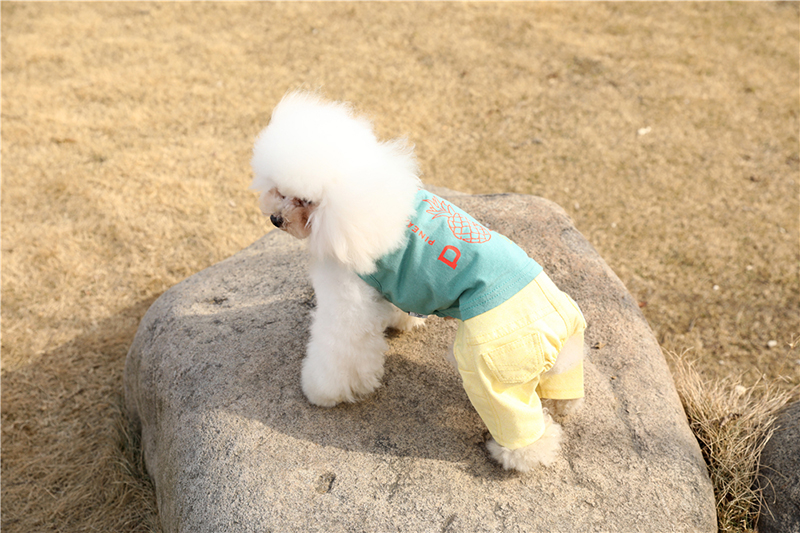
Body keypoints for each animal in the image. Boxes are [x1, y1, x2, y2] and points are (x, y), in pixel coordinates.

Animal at [250, 92, 587, 472]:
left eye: (305, 201)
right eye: (278, 190)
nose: (276, 219)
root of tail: (554, 313)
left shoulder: (346, 295)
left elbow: (340, 348)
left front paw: (323, 392)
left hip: (493, 363)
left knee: (517, 420)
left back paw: (520, 456)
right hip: (563, 352)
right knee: (564, 385)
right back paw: (563, 403)